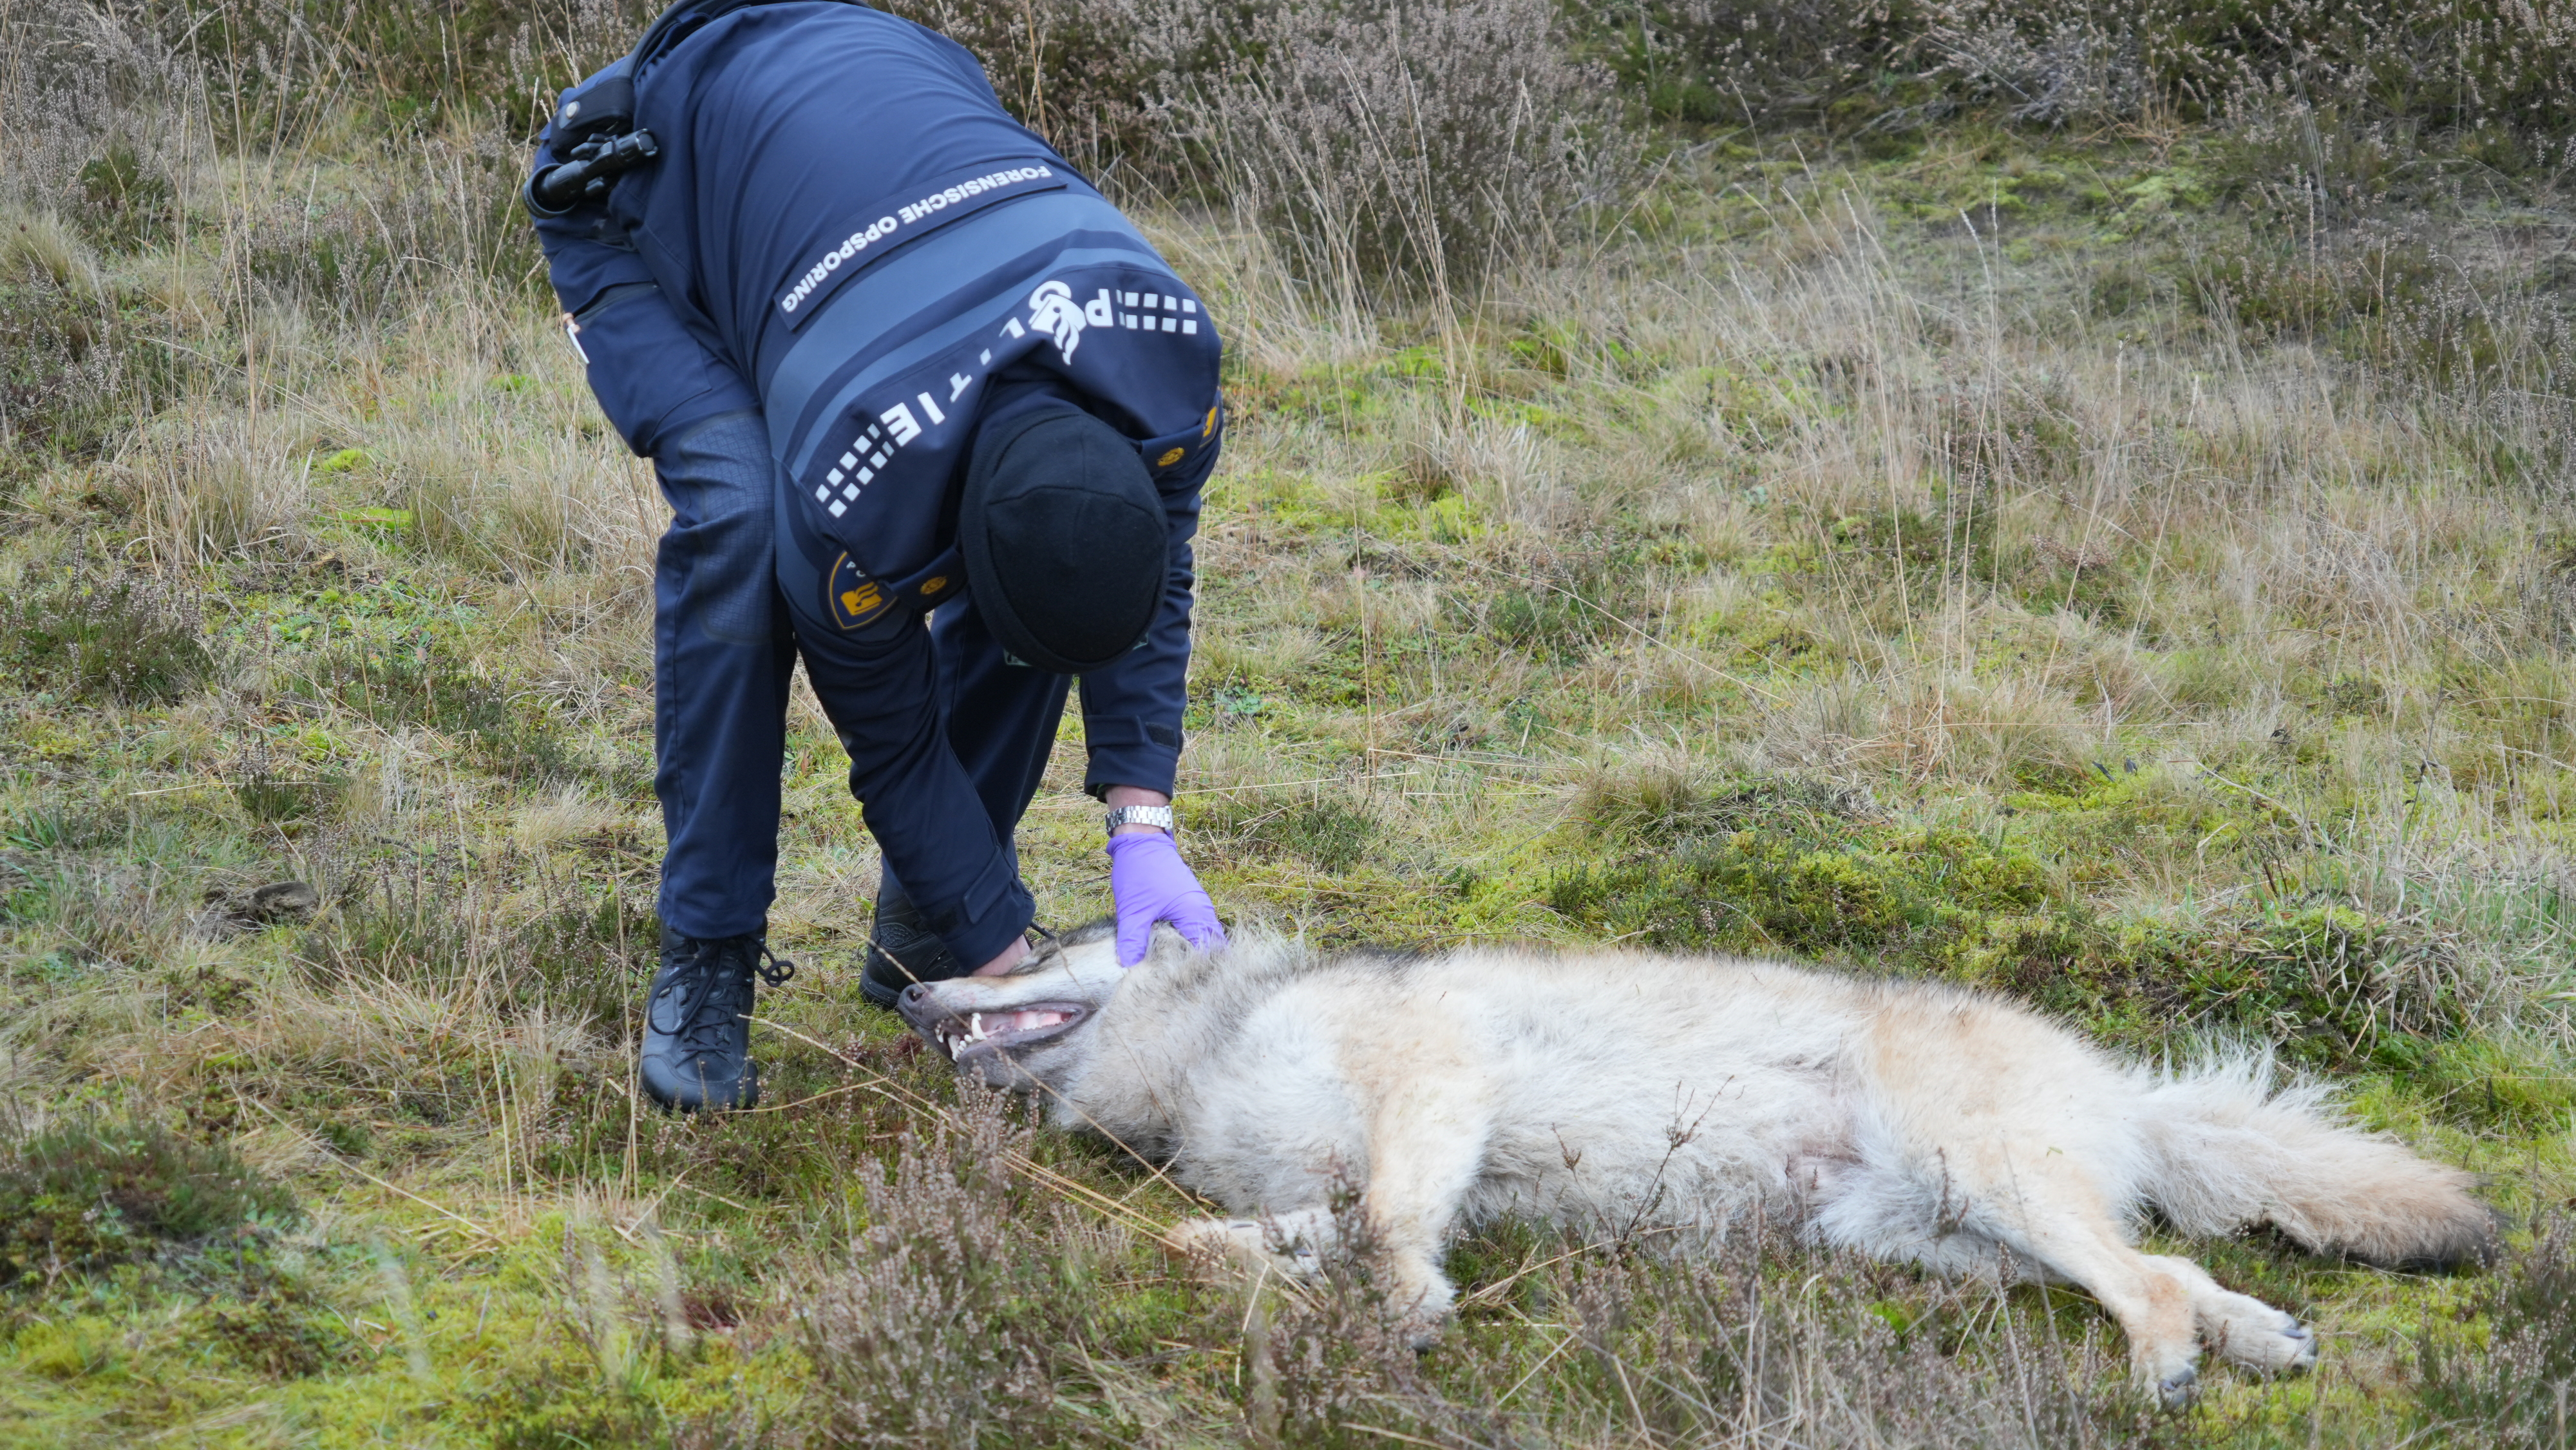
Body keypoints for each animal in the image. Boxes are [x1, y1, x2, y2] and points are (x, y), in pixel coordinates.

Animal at [894, 923, 2497, 1403]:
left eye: (1024, 951)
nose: (910, 994)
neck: (1206, 1051)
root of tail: (2120, 1082)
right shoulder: (1336, 1182)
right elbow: (1249, 1238)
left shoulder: (1431, 1080)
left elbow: (1393, 1228)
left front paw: (1408, 1315)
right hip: (1923, 1235)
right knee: (2171, 1261)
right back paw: (2261, 1342)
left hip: (1981, 1182)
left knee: (2148, 1277)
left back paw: (2161, 1376)